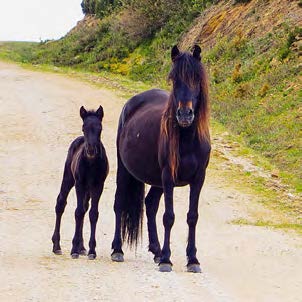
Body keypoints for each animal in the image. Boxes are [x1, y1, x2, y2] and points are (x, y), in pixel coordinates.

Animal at [51, 105, 108, 258]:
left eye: (100, 128)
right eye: (84, 127)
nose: (91, 150)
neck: (91, 164)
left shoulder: (98, 186)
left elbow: (93, 214)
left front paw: (92, 250)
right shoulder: (79, 184)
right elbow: (78, 212)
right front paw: (73, 250)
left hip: (88, 189)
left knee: (85, 207)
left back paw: (82, 247)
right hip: (68, 178)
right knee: (61, 203)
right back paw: (56, 246)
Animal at [111, 45, 210, 274]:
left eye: (196, 78)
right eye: (174, 79)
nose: (185, 114)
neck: (187, 139)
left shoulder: (198, 179)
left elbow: (192, 217)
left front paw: (193, 260)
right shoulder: (168, 178)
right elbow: (169, 217)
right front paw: (167, 259)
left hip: (157, 180)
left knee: (150, 204)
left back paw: (155, 250)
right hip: (126, 170)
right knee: (119, 202)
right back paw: (118, 250)